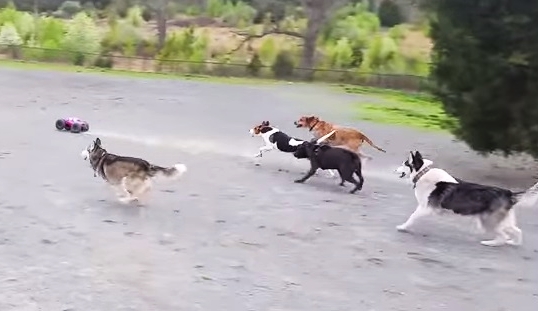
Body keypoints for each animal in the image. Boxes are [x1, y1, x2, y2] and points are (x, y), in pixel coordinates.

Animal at [392, 152, 532, 249]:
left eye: (404, 164)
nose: (395, 170)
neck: (423, 173)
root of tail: (509, 193)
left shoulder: (427, 208)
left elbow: (412, 217)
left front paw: (403, 227)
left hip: (488, 221)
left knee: (503, 236)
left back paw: (490, 243)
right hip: (501, 220)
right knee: (516, 231)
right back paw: (513, 243)